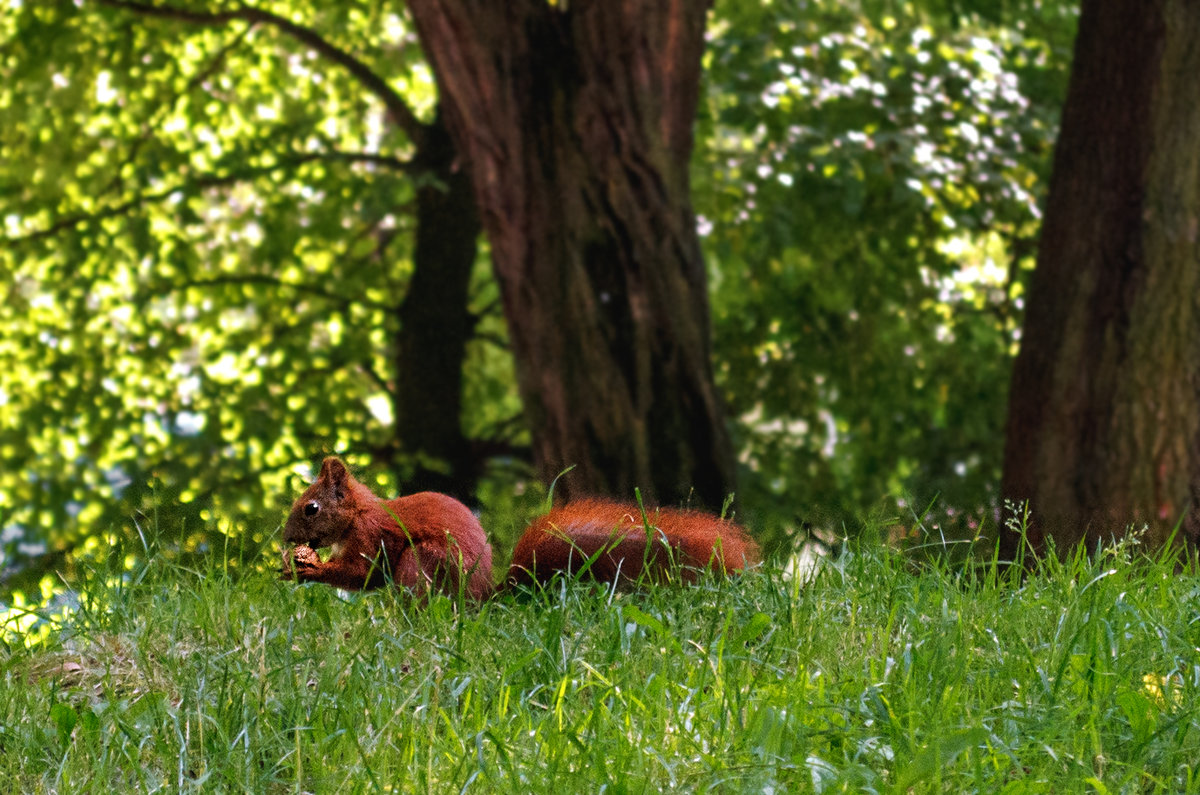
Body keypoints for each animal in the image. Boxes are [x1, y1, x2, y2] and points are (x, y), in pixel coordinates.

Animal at [278, 458, 758, 600]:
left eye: (311, 508)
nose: (285, 539)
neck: (359, 511)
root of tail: (484, 598)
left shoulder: (372, 535)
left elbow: (363, 575)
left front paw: (307, 569)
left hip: (423, 561)